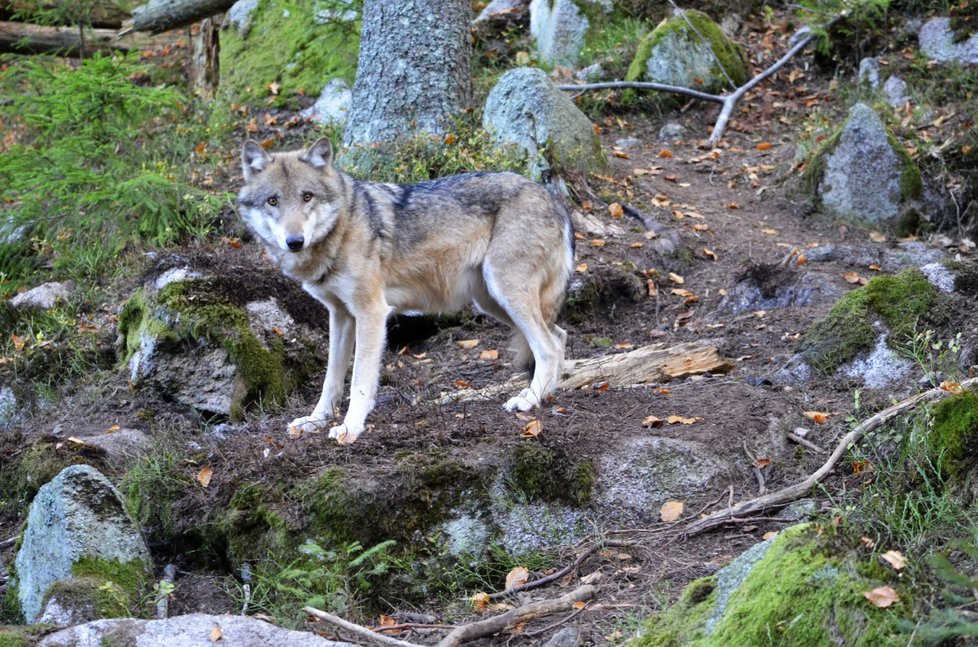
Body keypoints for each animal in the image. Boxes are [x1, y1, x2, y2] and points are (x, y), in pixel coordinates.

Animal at [237, 140, 572, 446]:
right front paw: (315, 420)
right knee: (560, 335)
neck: (342, 227)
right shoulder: (341, 316)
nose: (295, 241)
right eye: (272, 201)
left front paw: (350, 428)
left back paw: (529, 400)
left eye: (307, 196)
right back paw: (545, 394)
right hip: (492, 301)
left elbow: (359, 380)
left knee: (548, 347)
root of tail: (554, 198)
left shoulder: (371, 312)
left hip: (505, 293)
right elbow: (331, 380)